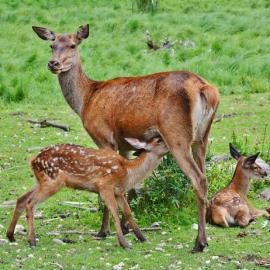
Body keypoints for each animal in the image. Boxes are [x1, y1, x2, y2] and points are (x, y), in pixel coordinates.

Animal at [6, 137, 169, 249]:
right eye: (159, 139)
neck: (129, 172)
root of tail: (33, 160)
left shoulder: (119, 191)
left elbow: (128, 212)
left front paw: (142, 237)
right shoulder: (105, 186)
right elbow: (115, 212)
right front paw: (124, 243)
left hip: (41, 181)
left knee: (21, 199)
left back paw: (11, 236)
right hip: (52, 181)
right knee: (30, 203)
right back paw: (32, 241)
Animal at [31, 24, 219, 252]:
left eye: (73, 45)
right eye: (52, 45)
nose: (53, 63)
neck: (86, 100)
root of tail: (205, 89)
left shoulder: (104, 137)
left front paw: (104, 230)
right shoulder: (125, 145)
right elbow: (128, 185)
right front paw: (127, 227)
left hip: (177, 136)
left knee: (198, 178)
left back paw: (199, 242)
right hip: (202, 137)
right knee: (204, 175)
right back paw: (206, 237)